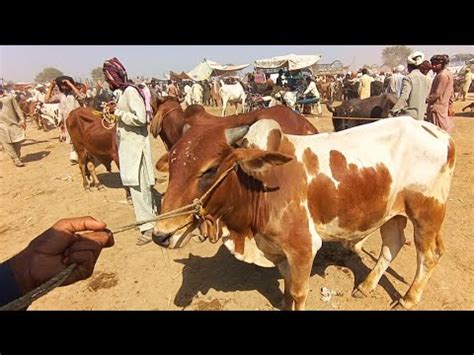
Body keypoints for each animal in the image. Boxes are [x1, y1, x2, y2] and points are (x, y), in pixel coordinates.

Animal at [155, 117, 456, 312]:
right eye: (172, 165)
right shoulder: (279, 249)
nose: (160, 235)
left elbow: (299, 292)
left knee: (428, 256)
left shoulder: (303, 246)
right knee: (391, 246)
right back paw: (367, 286)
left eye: (209, 169)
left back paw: (409, 298)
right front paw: (283, 302)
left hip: (426, 213)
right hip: (392, 212)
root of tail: (439, 133)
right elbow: (288, 285)